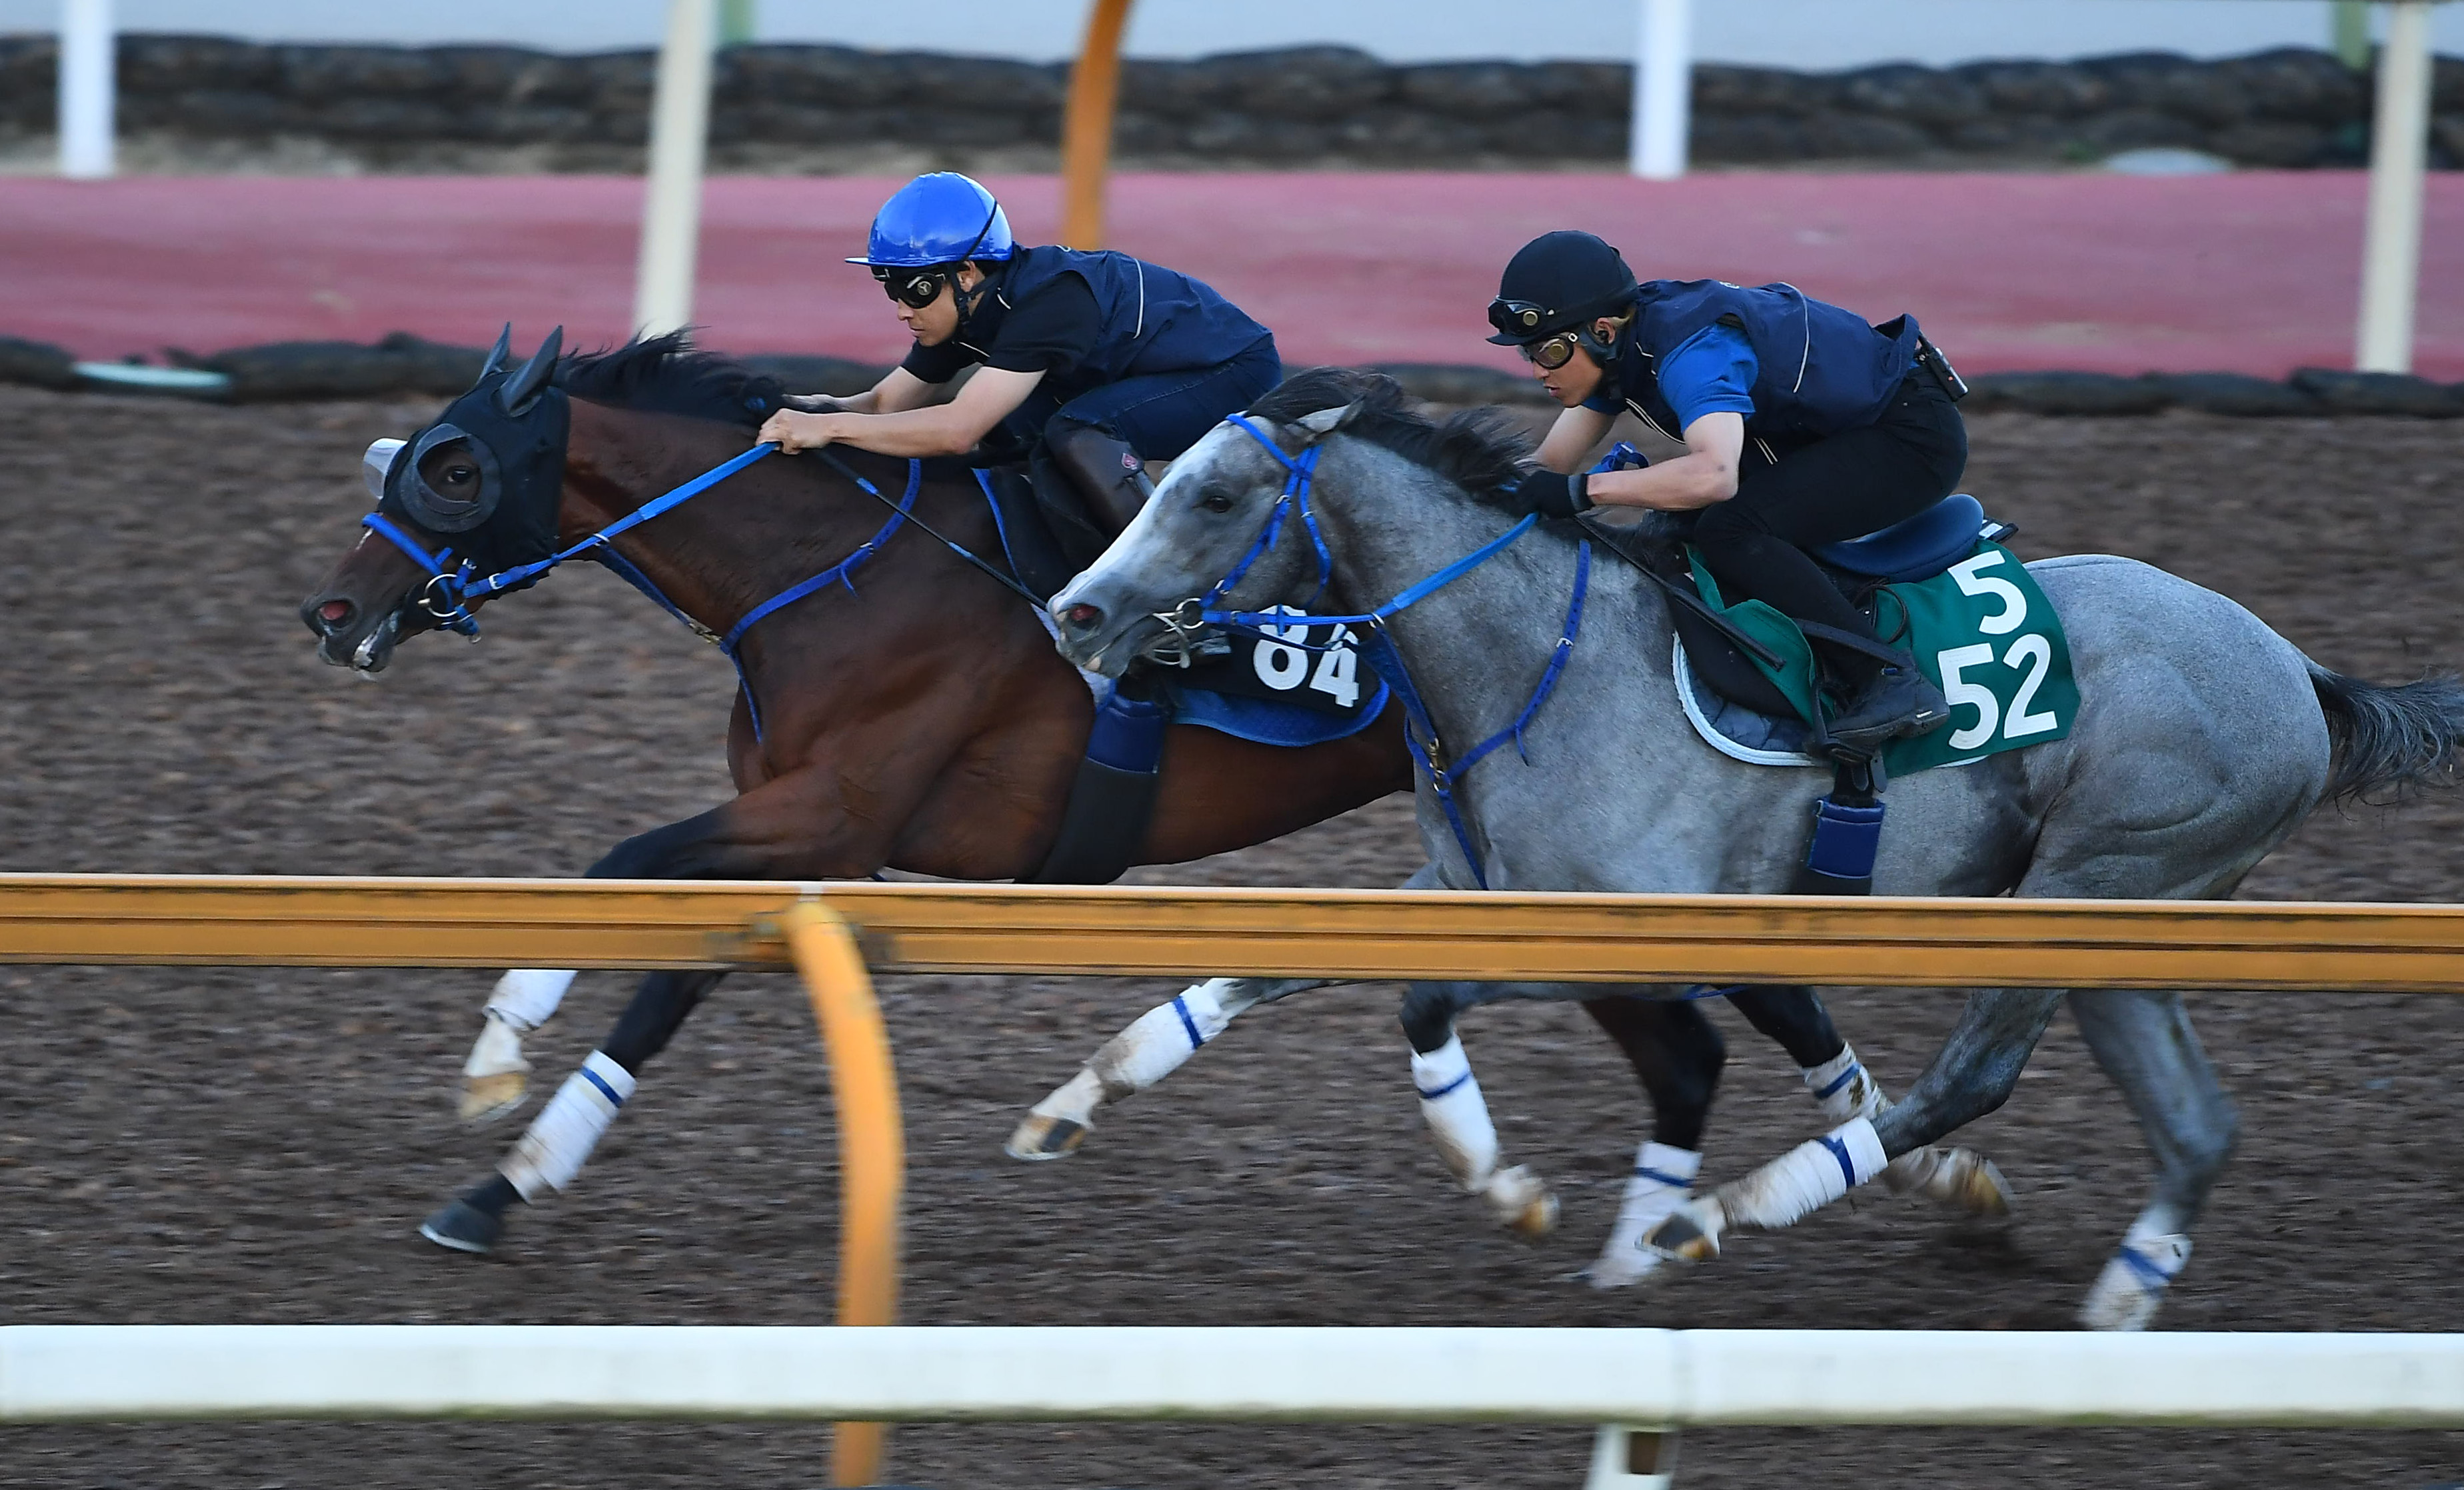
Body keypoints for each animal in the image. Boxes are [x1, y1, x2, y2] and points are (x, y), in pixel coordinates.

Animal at [1044, 369, 2464, 1320]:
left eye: (1212, 493)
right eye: (1153, 478)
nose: (1075, 612)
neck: (1542, 664)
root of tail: (2292, 667)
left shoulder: (1633, 934)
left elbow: (1424, 1001)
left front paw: (1502, 1183)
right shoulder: (1459, 885)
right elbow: (1257, 970)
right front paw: (1076, 1097)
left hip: (2090, 880)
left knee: (1974, 1076)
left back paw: (1717, 1217)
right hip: (2128, 918)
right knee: (2196, 1126)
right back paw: (2115, 1308)